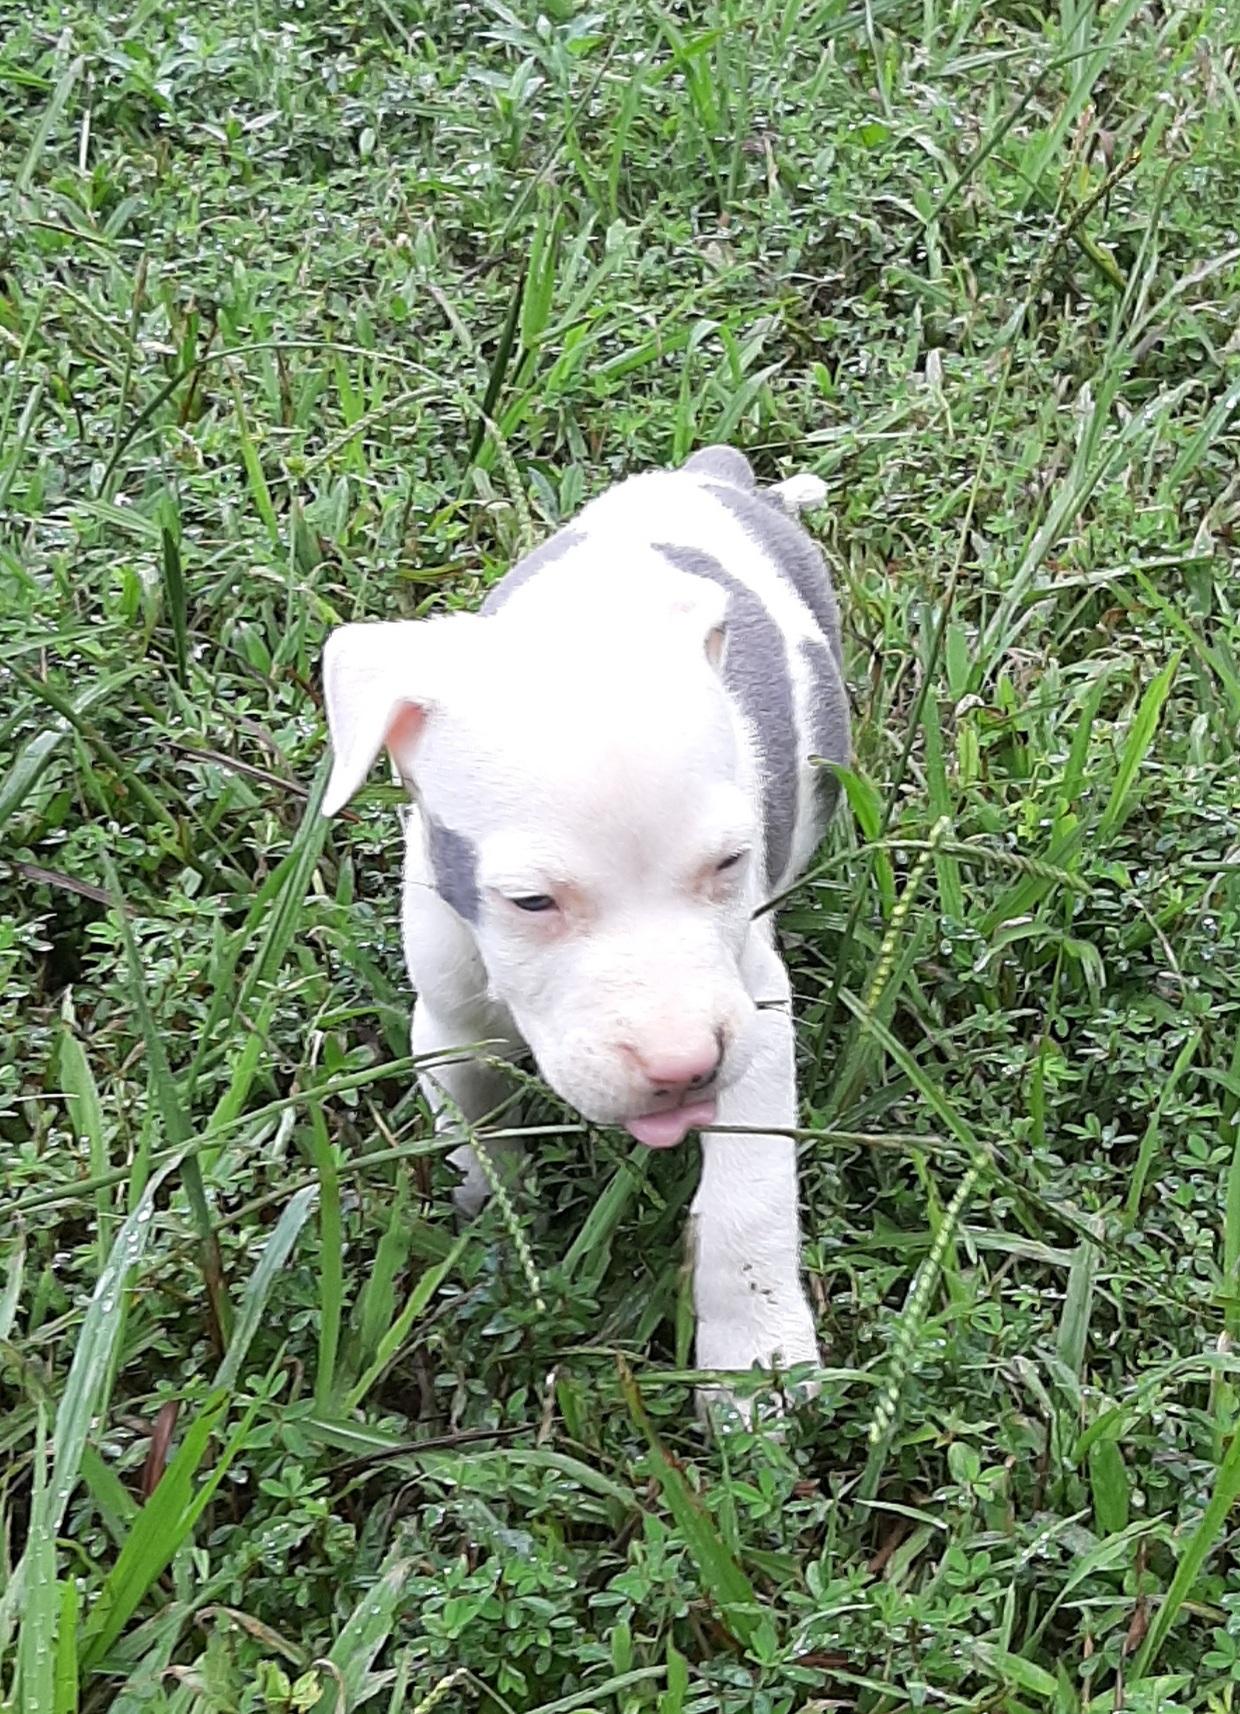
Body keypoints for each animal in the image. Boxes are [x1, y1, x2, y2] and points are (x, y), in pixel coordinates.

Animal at [320, 446, 850, 1409]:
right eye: (531, 902)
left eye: (731, 863)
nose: (684, 1068)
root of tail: (713, 474)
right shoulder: (449, 1017)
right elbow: (478, 1135)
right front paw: (496, 1227)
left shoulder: (756, 1013)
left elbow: (750, 1194)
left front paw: (755, 1360)